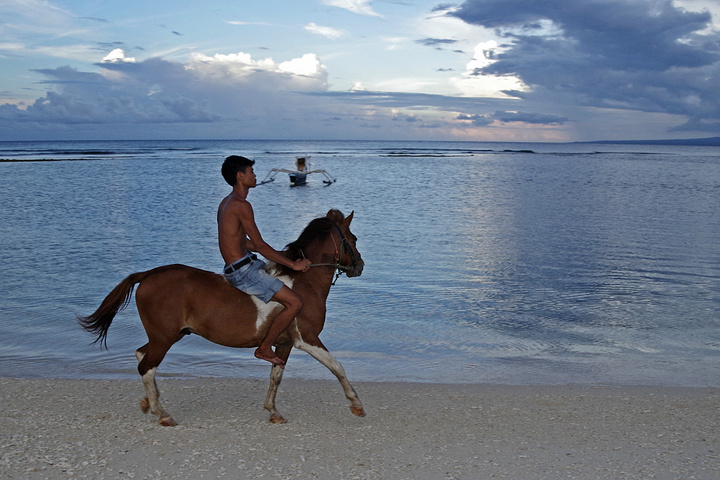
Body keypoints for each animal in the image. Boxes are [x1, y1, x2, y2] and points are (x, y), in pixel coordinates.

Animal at [79, 208, 366, 426]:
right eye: (353, 238)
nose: (360, 266)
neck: (304, 283)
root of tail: (149, 274)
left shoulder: (284, 343)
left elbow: (276, 376)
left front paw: (273, 411)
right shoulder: (307, 338)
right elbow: (337, 367)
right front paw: (356, 403)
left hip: (168, 335)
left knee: (142, 355)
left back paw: (150, 402)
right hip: (164, 338)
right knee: (146, 368)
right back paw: (163, 414)